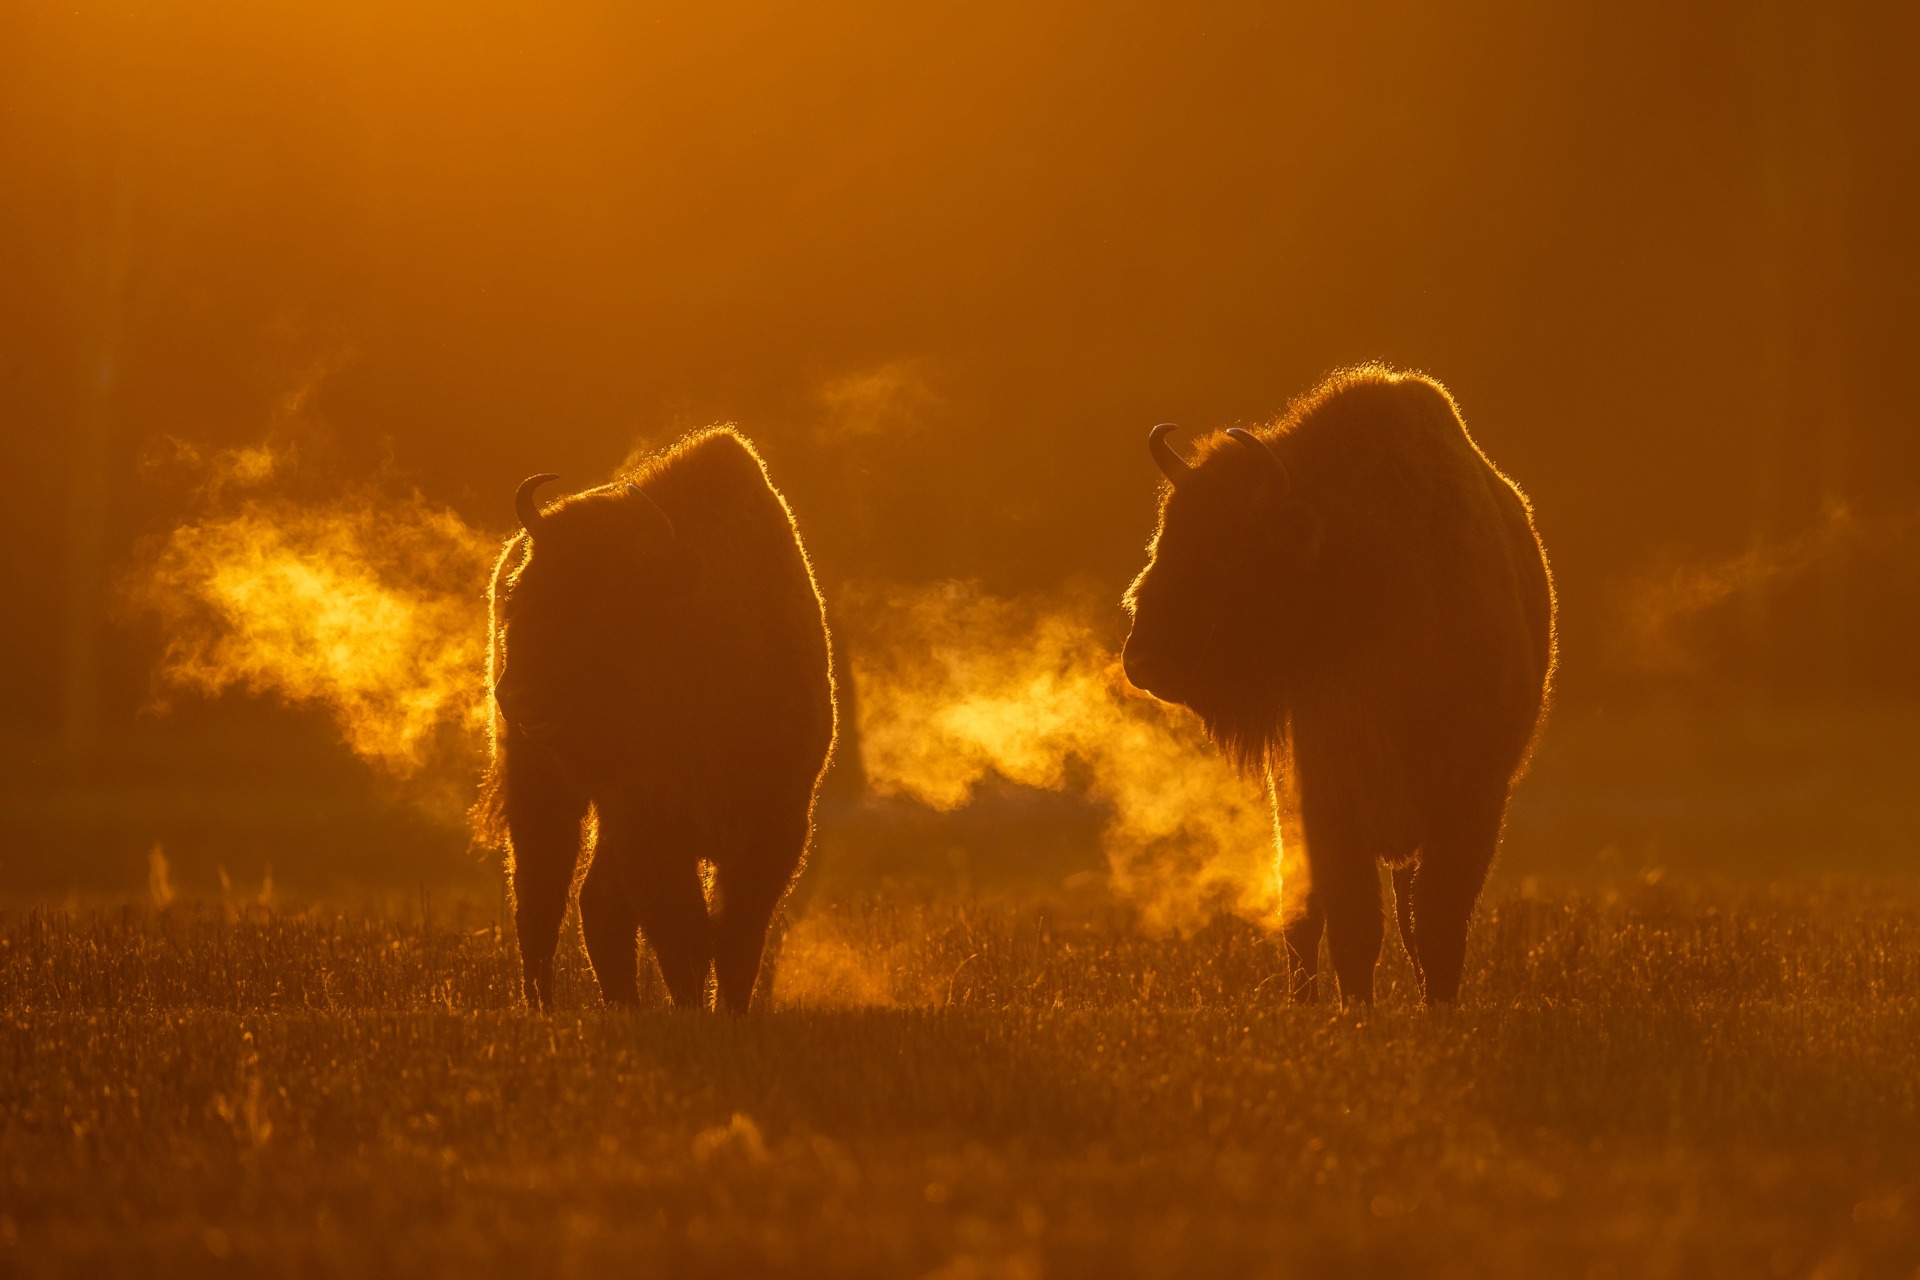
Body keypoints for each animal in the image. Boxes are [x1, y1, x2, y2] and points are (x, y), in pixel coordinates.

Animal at [479, 428, 836, 1013]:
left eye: (601, 606)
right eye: (525, 596)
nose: (517, 696)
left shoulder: (777, 822)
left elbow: (737, 936)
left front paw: (729, 1013)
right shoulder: (650, 824)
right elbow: (684, 934)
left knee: (593, 901)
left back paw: (621, 1004)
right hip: (542, 786)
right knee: (541, 897)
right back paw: (544, 1007)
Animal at [1122, 366, 1555, 1005]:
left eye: (1227, 554)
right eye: (1165, 535)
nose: (1142, 658)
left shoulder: (1472, 800)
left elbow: (1436, 923)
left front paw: (1439, 1010)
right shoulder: (1327, 804)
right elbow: (1354, 925)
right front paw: (1355, 1016)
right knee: (1300, 916)